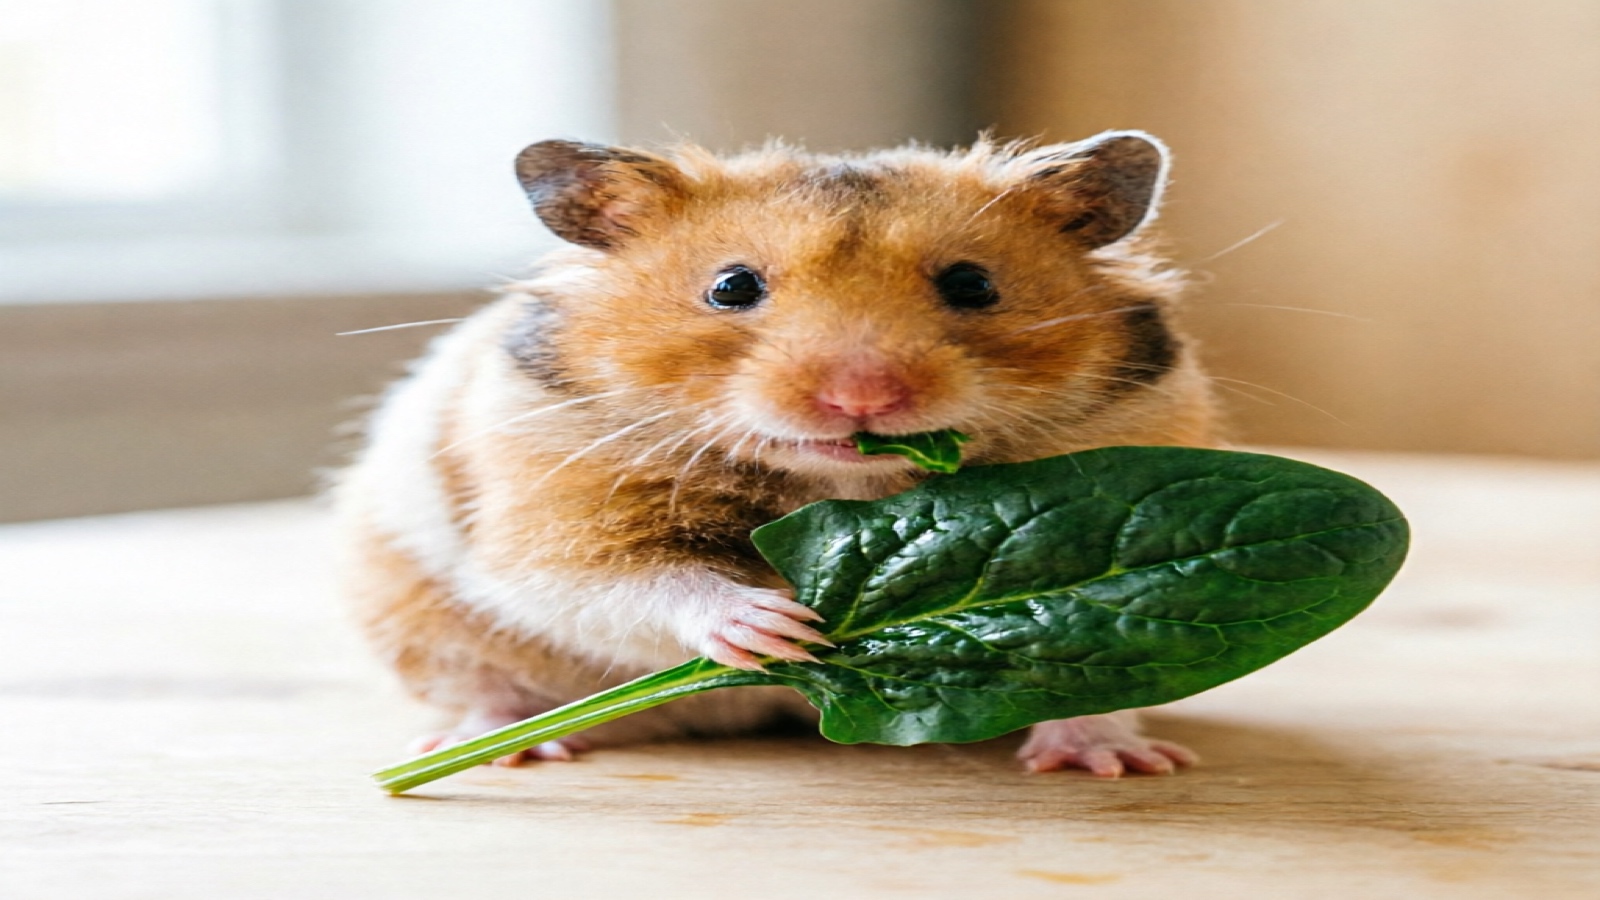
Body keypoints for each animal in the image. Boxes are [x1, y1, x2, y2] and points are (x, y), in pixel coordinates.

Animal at [337, 132, 1216, 777]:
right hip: (414, 612)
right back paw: (503, 747)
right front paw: (778, 628)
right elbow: (626, 579)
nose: (862, 398)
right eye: (732, 287)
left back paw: (1115, 762)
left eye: (972, 285)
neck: (841, 481)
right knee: (485, 688)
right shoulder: (552, 515)